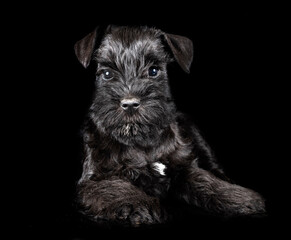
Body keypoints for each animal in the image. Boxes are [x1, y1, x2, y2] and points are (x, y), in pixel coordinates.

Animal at [74, 25, 266, 226]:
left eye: (153, 71)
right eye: (107, 74)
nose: (130, 104)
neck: (142, 142)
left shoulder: (183, 166)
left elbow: (204, 179)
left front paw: (241, 197)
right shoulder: (94, 179)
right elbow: (115, 188)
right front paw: (141, 205)